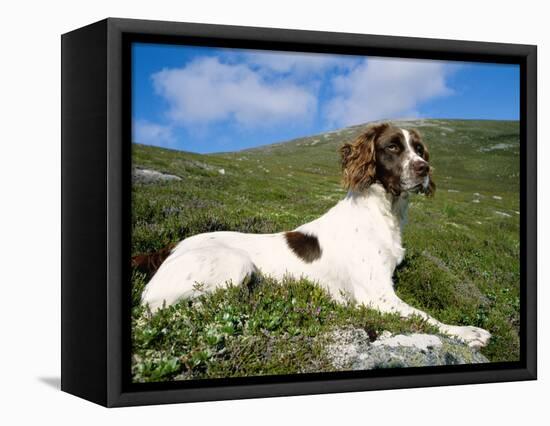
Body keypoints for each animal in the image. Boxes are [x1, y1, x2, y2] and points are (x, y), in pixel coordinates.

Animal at [140, 121, 494, 348]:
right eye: (392, 146)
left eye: (419, 149)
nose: (424, 169)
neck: (383, 213)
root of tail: (170, 248)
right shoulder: (376, 296)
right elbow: (424, 315)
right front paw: (468, 332)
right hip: (233, 263)